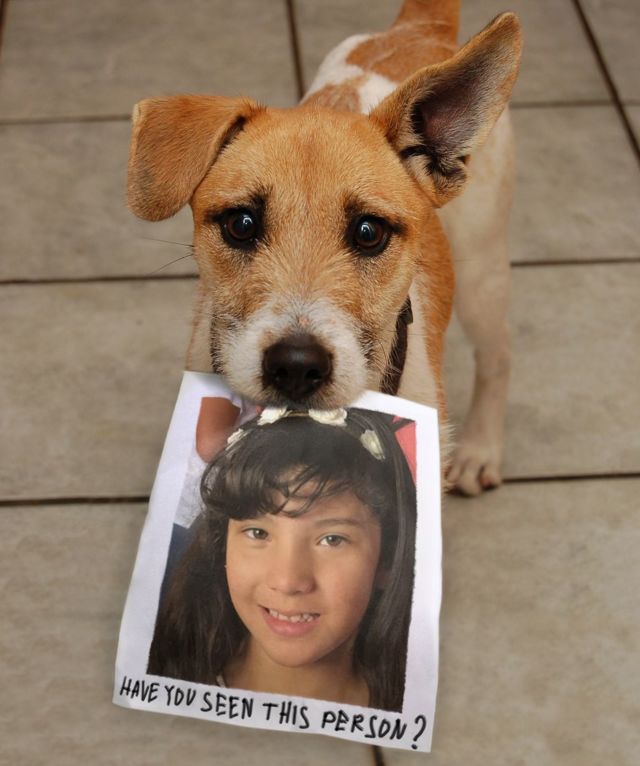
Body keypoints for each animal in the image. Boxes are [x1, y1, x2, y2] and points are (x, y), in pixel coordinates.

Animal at [127, 0, 522, 496]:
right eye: (241, 224)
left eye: (369, 232)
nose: (296, 366)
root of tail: (420, 27)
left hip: (481, 272)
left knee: (499, 352)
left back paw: (479, 449)